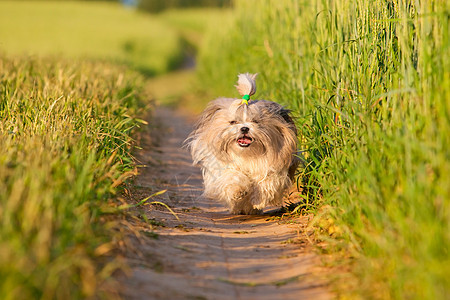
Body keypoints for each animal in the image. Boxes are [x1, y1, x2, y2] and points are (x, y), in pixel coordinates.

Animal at [185, 73, 298, 214]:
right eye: (233, 122)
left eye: (255, 121)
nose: (244, 128)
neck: (247, 154)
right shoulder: (221, 168)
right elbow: (232, 175)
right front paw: (239, 190)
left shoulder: (277, 168)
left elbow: (268, 179)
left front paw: (259, 199)